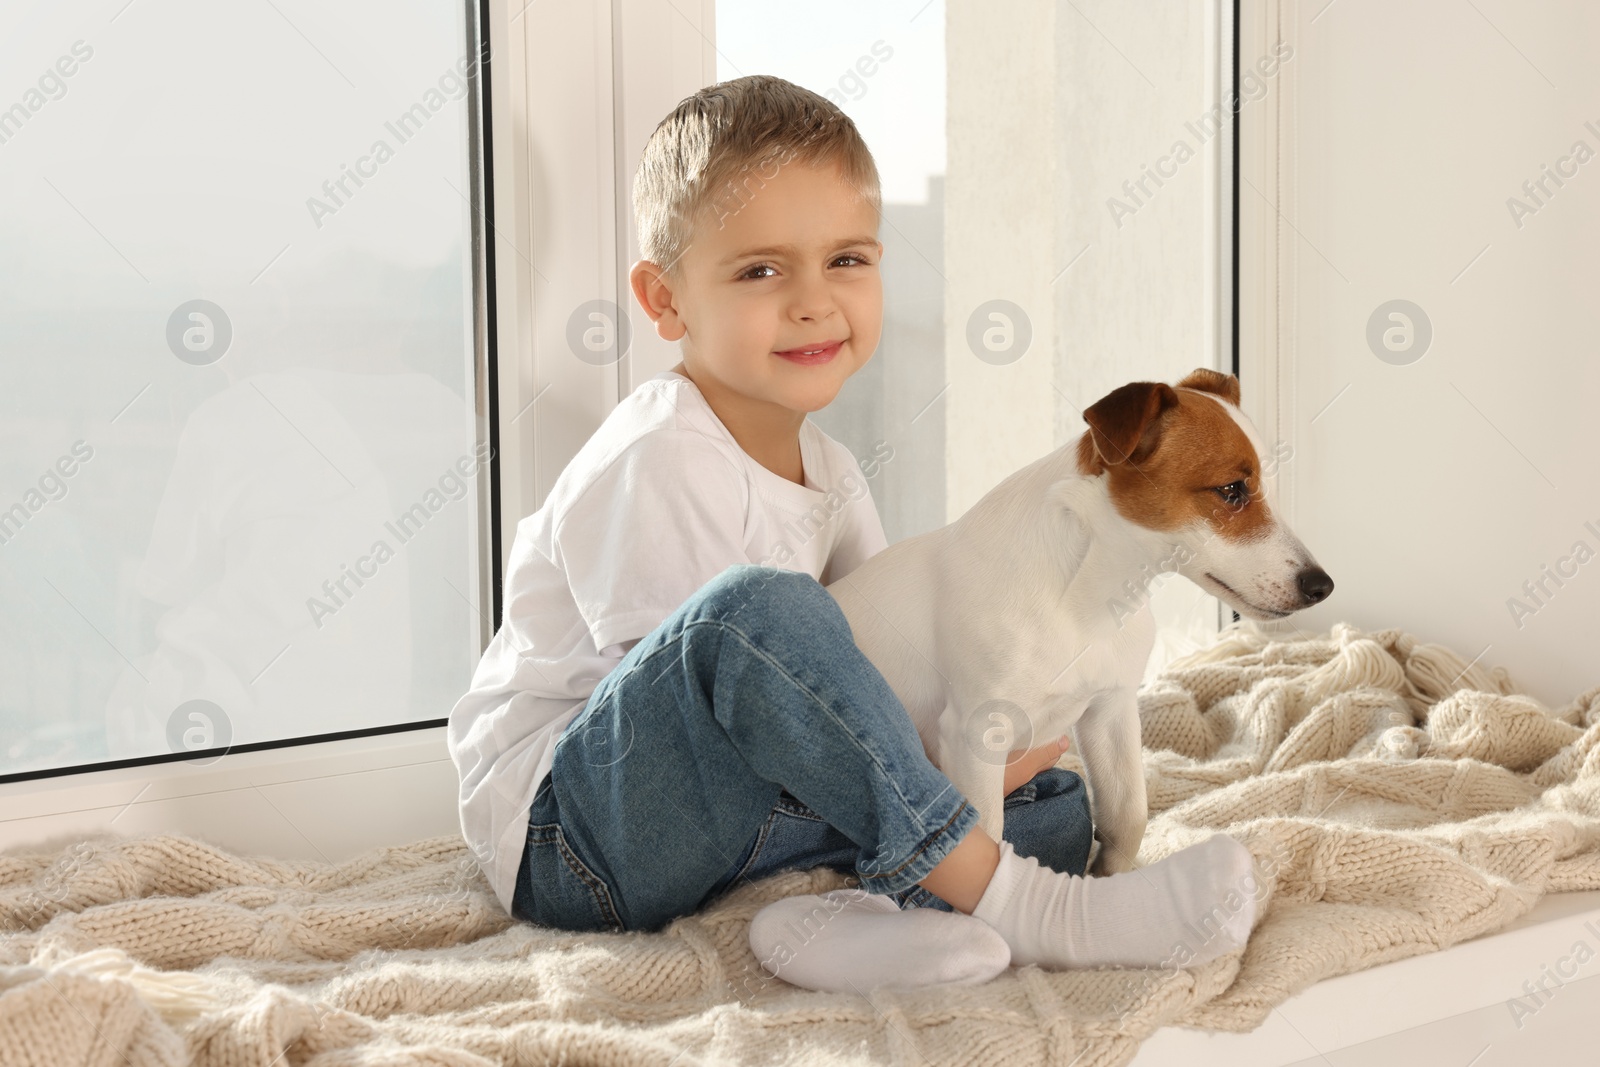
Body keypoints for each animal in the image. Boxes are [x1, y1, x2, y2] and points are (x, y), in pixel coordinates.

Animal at [832, 367, 1331, 876]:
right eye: (1232, 490)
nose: (1322, 585)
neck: (1085, 598)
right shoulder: (977, 736)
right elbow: (987, 838)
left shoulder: (1109, 709)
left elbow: (1130, 813)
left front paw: (1109, 877)